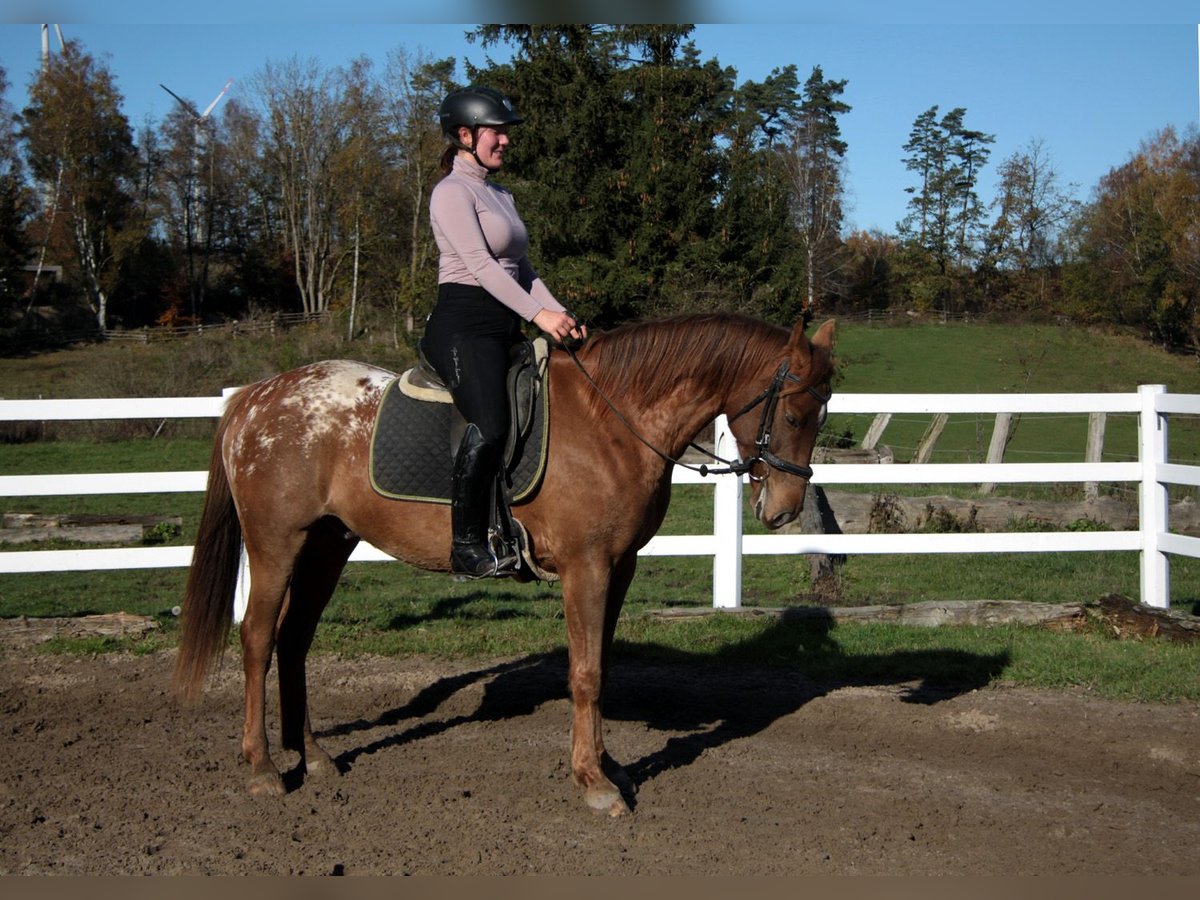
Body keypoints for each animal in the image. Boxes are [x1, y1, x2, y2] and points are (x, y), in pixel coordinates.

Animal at [175, 309, 835, 816]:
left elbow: (601, 666)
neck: (612, 420)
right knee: (259, 638)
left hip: (327, 545)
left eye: (822, 415)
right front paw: (594, 783)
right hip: (276, 544)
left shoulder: (619, 567)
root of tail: (254, 398)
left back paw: (311, 755)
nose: (784, 509)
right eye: (793, 415)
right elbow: (586, 673)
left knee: (294, 640)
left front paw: (608, 765)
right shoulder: (587, 567)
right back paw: (262, 767)